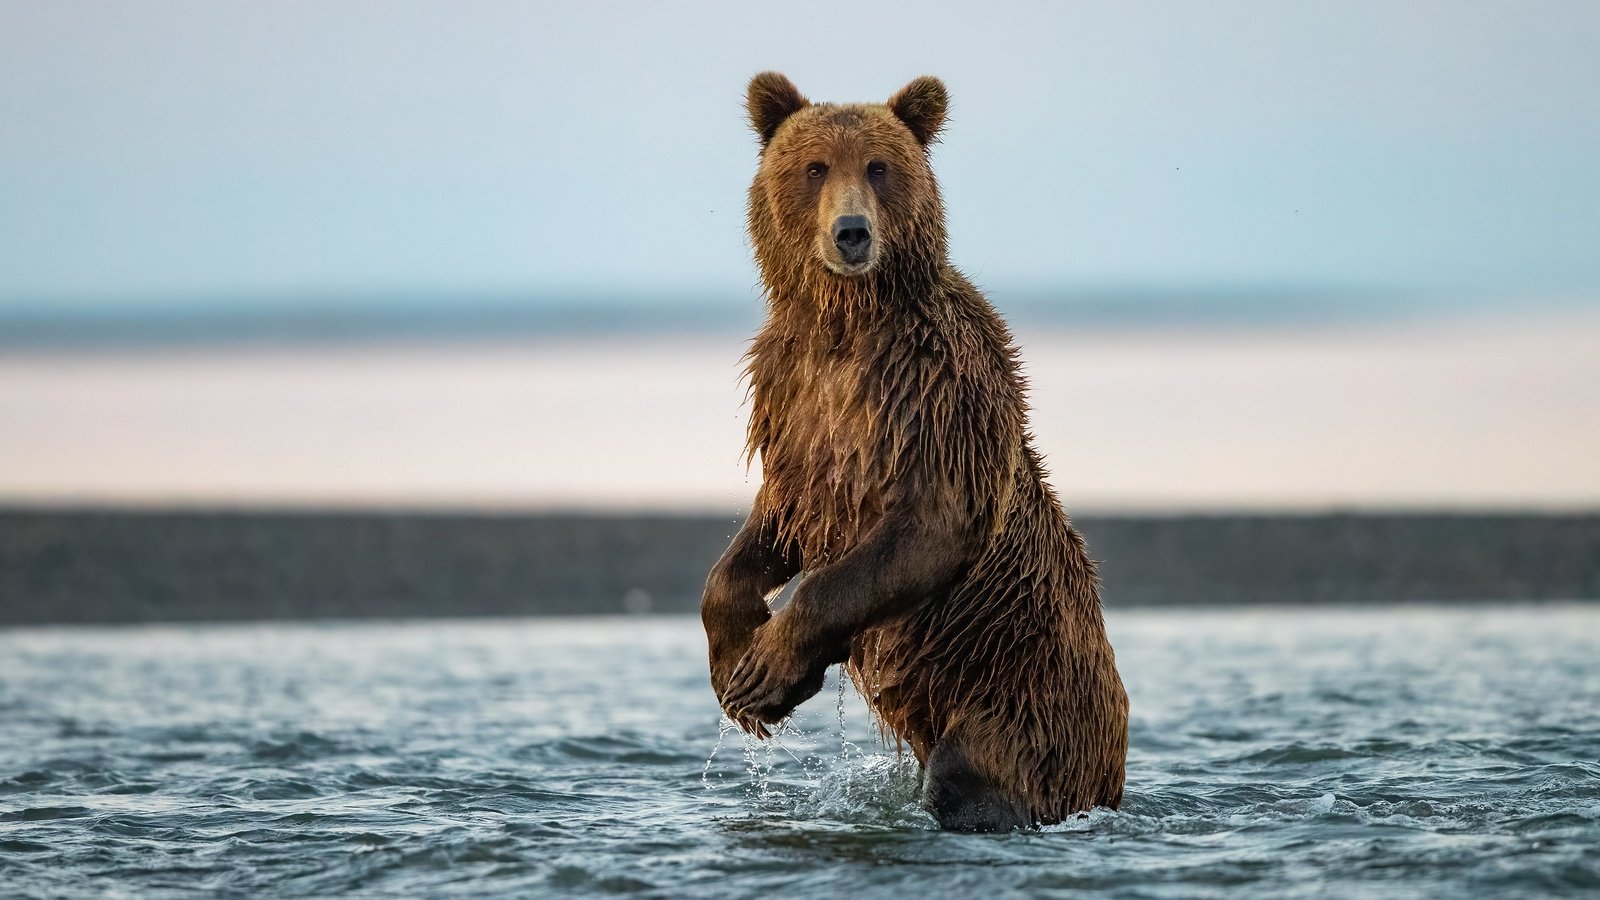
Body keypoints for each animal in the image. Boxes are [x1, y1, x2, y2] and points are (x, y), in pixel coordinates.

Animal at [700, 73, 1126, 832]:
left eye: (878, 166)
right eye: (815, 168)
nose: (852, 232)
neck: (846, 325)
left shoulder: (933, 394)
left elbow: (927, 525)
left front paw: (770, 668)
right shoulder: (793, 404)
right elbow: (773, 522)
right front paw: (734, 665)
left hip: (1019, 696)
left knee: (973, 773)